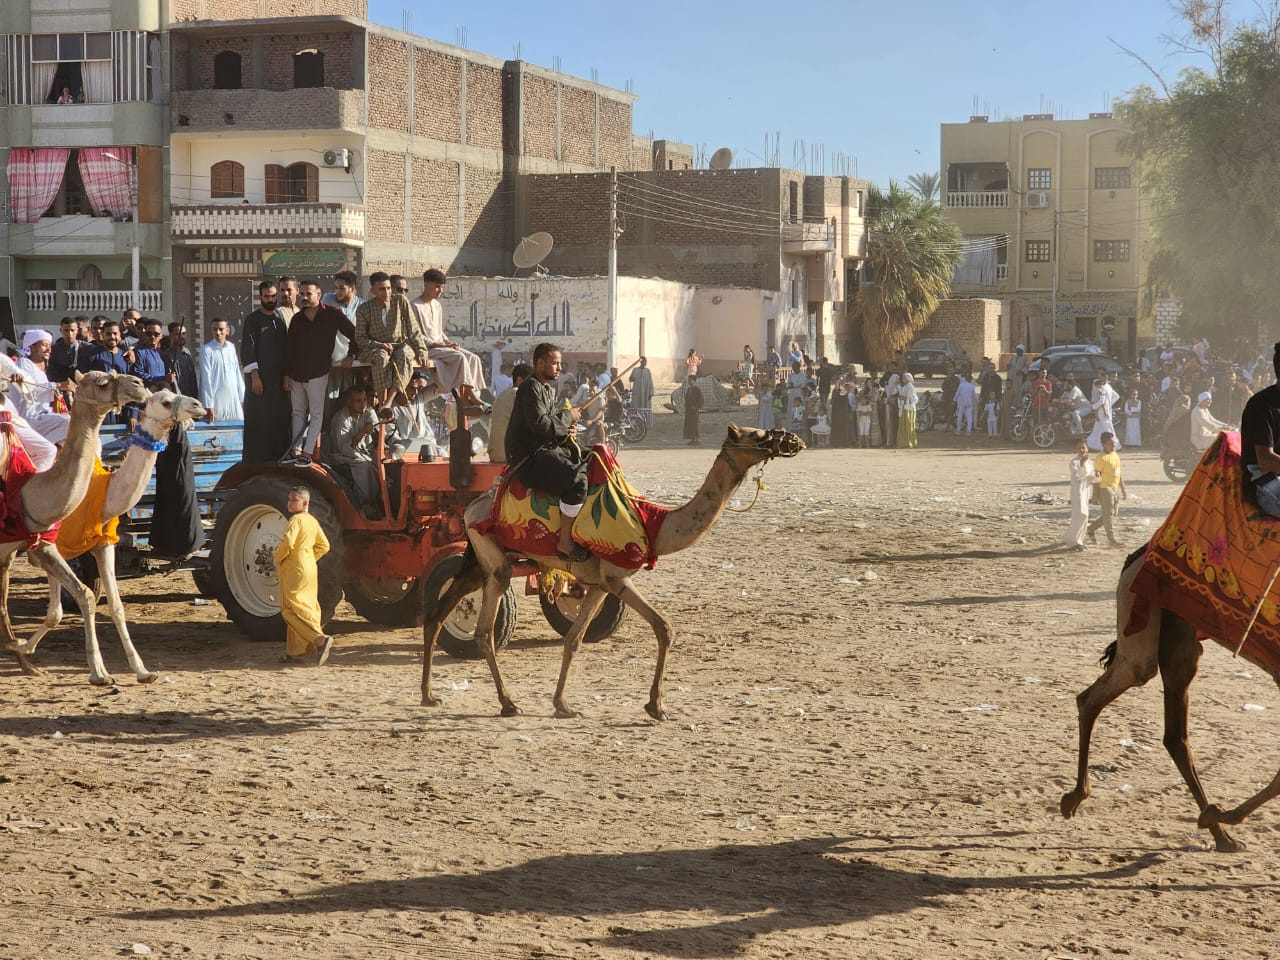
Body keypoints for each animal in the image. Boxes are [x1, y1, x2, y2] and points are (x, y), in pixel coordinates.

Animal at [13, 389, 207, 686]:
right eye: (164, 401)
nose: (198, 405)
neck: (104, 497)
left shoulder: (103, 544)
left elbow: (114, 606)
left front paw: (142, 671)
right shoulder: (47, 547)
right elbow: (62, 609)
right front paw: (96, 672)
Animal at [419, 427, 798, 721]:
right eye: (756, 435)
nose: (791, 439)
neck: (653, 524)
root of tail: (472, 506)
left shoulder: (598, 583)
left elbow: (574, 639)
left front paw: (562, 705)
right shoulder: (618, 576)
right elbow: (664, 628)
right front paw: (656, 707)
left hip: (477, 561)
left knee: (437, 613)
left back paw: (428, 695)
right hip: (495, 563)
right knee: (484, 631)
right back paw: (507, 703)